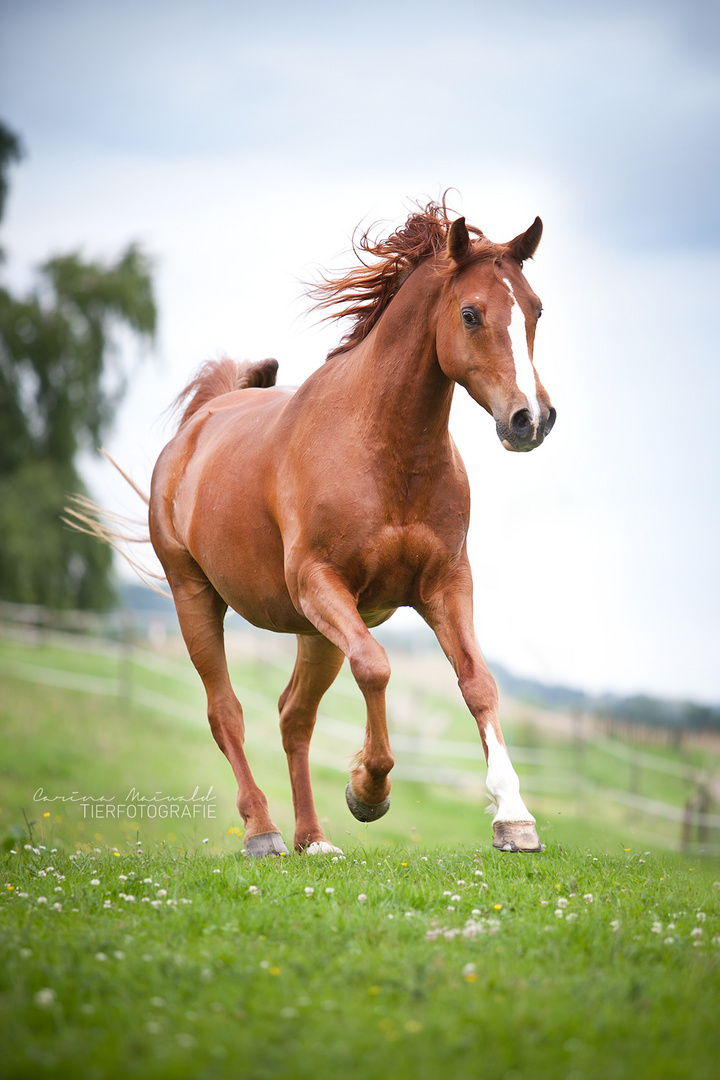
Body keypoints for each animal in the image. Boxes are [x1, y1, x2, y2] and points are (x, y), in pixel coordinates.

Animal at [148, 203, 557, 855]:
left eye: (536, 309)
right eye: (470, 313)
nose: (531, 419)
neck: (387, 451)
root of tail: (200, 421)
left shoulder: (446, 585)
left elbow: (479, 684)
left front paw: (514, 818)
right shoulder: (321, 583)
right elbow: (377, 667)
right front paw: (368, 790)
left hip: (314, 634)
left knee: (293, 715)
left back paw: (313, 840)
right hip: (198, 599)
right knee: (226, 712)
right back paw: (263, 833)